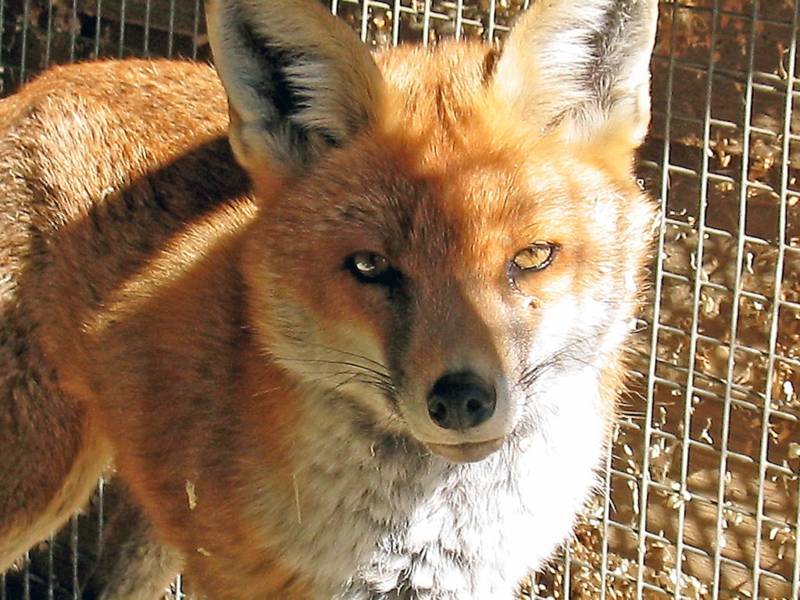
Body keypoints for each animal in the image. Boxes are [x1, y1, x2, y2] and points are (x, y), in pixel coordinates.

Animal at [0, 0, 659, 598]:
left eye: (532, 257)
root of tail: (43, 82)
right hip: (39, 478)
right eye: (370, 266)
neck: (417, 538)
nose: (462, 400)